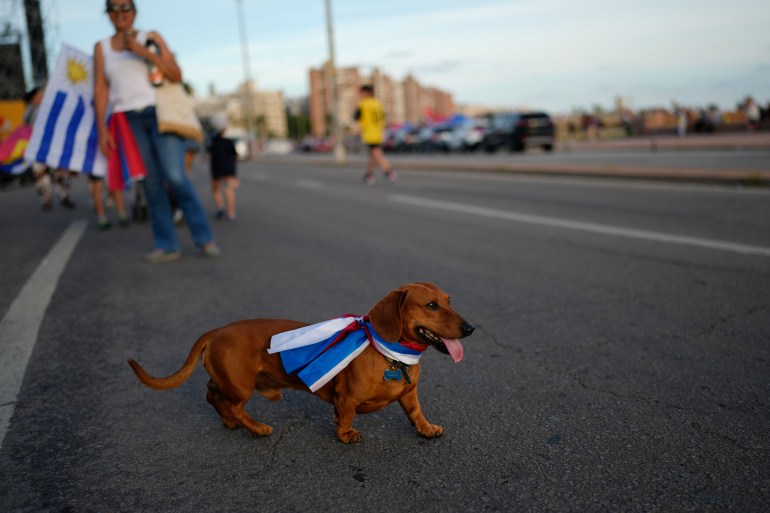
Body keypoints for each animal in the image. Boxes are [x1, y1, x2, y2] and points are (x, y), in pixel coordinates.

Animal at [129, 282, 472, 442]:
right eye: (431, 305)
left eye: (449, 301)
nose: (470, 329)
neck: (388, 351)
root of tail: (215, 331)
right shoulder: (345, 398)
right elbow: (345, 418)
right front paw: (346, 435)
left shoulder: (410, 395)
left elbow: (416, 414)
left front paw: (427, 429)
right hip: (241, 385)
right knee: (234, 406)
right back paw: (256, 427)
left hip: (226, 380)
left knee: (213, 396)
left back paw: (229, 422)